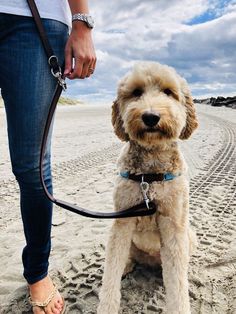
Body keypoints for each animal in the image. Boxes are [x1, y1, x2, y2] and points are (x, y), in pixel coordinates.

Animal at [97, 62, 198, 314]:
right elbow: (111, 271)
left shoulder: (174, 224)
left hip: (189, 236)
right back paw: (128, 265)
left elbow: (177, 284)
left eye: (169, 92)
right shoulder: (122, 221)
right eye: (136, 92)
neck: (149, 177)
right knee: (124, 257)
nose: (151, 116)